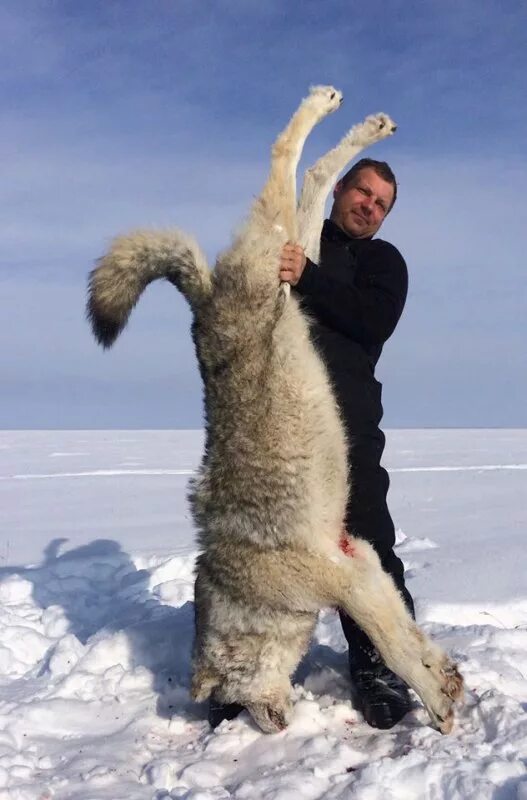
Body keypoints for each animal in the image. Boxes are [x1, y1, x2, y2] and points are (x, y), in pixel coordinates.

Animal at [88, 86, 464, 732]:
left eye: (229, 696)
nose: (272, 723)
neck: (244, 594)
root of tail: (203, 302)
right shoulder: (362, 562)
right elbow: (408, 634)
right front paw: (445, 683)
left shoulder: (344, 579)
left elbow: (391, 644)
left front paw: (435, 703)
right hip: (293, 257)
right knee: (316, 179)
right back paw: (366, 126)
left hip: (275, 241)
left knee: (285, 157)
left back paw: (324, 104)